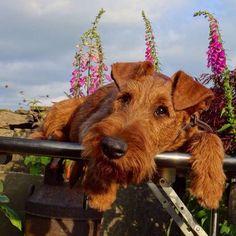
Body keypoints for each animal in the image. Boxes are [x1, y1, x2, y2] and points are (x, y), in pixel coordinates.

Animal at [30, 61, 225, 212]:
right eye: (125, 98)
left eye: (162, 110)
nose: (111, 146)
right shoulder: (90, 125)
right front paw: (101, 191)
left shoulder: (187, 136)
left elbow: (210, 137)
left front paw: (210, 184)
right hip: (63, 108)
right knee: (42, 130)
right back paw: (48, 136)